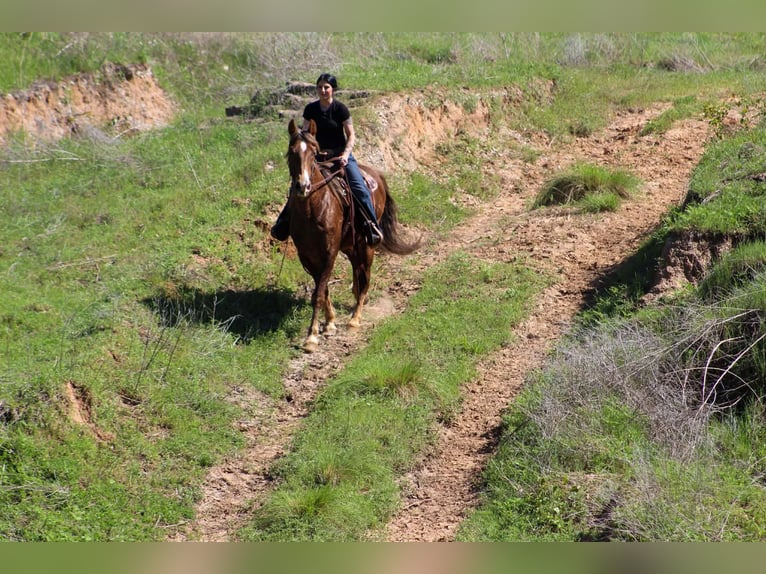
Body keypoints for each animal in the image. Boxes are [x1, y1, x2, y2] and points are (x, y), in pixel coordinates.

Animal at [284, 118, 421, 352]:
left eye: (314, 152)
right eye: (291, 152)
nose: (303, 186)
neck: (313, 209)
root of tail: (376, 175)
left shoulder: (329, 253)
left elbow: (318, 293)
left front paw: (311, 337)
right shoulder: (307, 256)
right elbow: (322, 290)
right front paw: (329, 323)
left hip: (367, 244)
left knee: (365, 278)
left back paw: (355, 318)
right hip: (352, 245)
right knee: (358, 274)